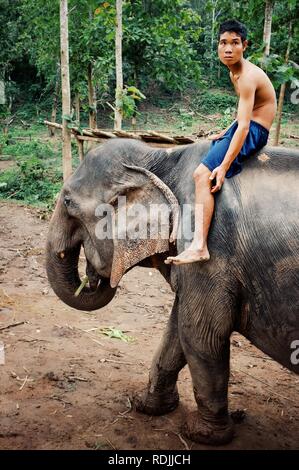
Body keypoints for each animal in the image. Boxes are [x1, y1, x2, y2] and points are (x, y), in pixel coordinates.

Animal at [47, 139, 299, 444]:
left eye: (68, 202)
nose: (92, 278)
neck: (162, 158)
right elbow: (177, 332)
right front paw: (147, 406)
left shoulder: (209, 248)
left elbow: (200, 333)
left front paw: (201, 435)